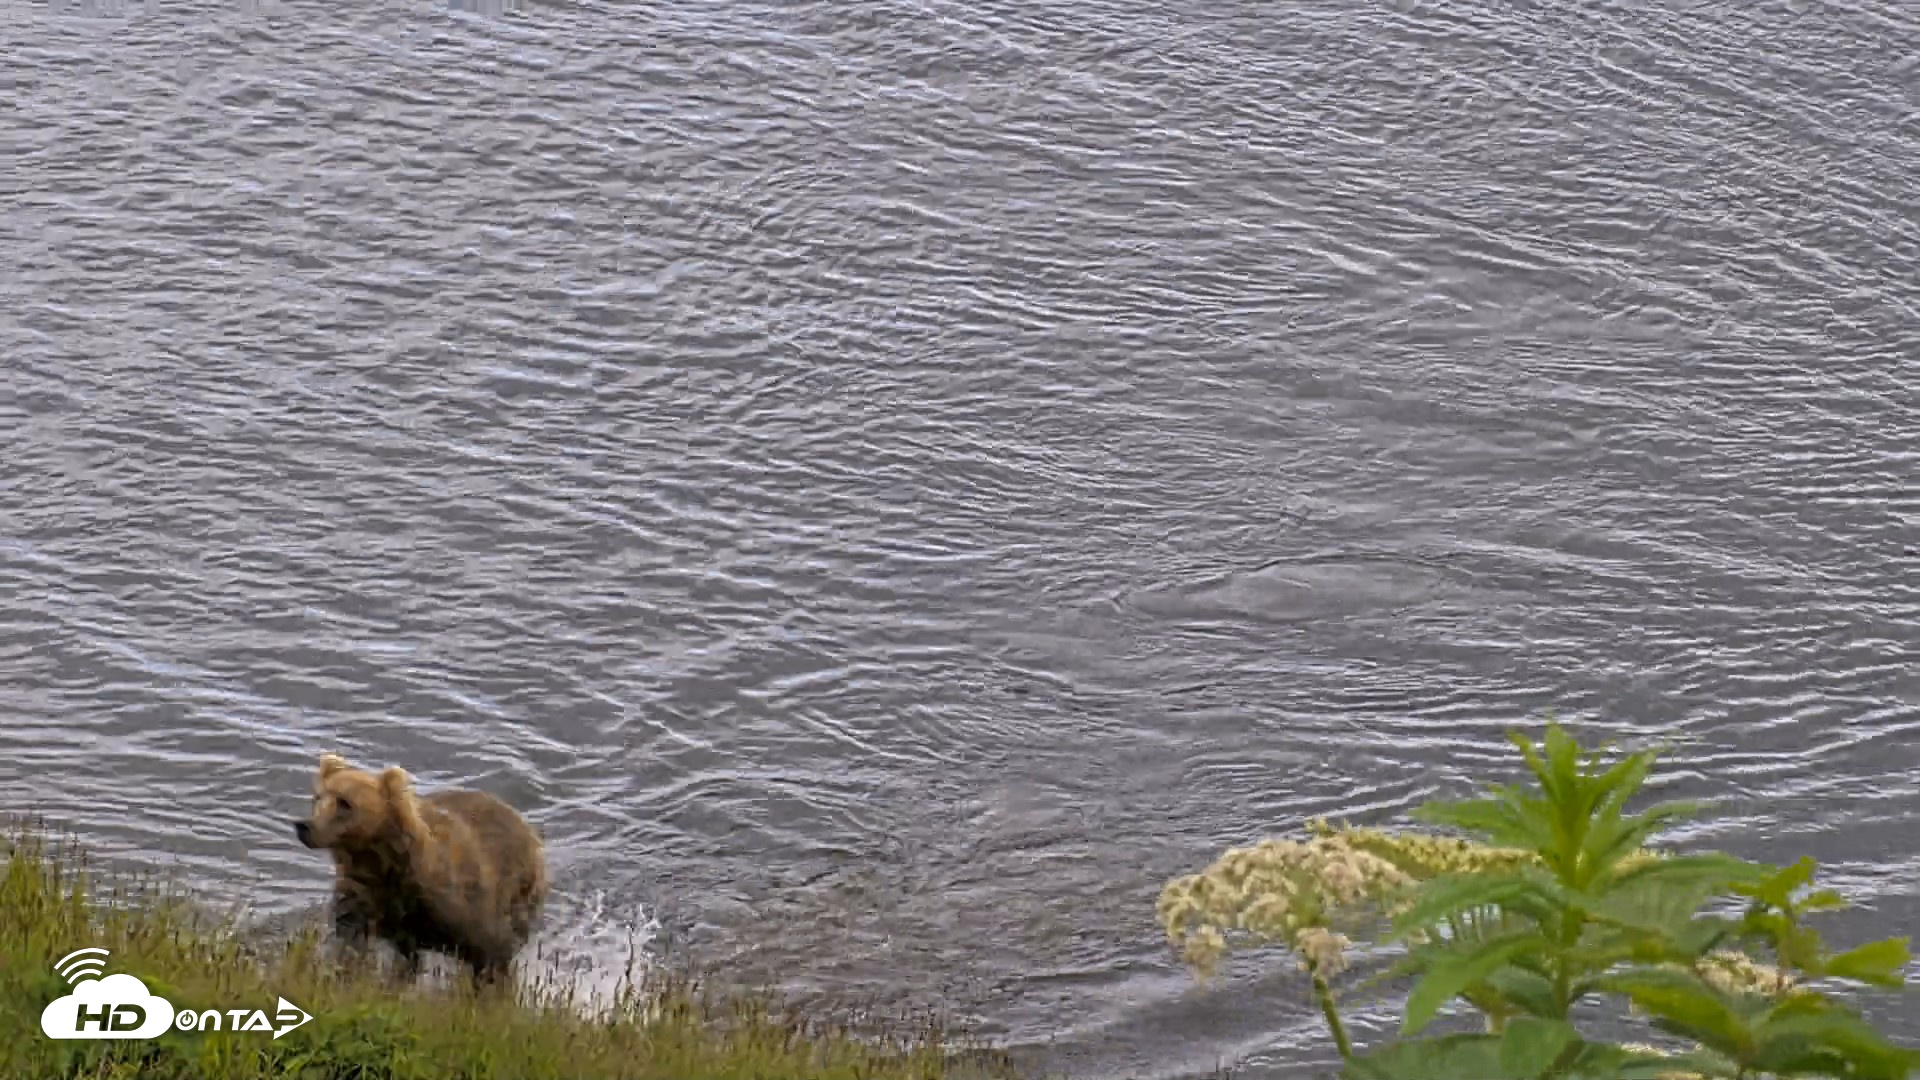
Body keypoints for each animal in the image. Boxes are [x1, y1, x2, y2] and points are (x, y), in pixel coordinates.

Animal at [292, 752, 547, 989]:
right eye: (317, 797)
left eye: (345, 802)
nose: (305, 826)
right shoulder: (361, 895)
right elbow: (350, 935)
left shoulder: (458, 901)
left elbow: (491, 946)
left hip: (520, 887)